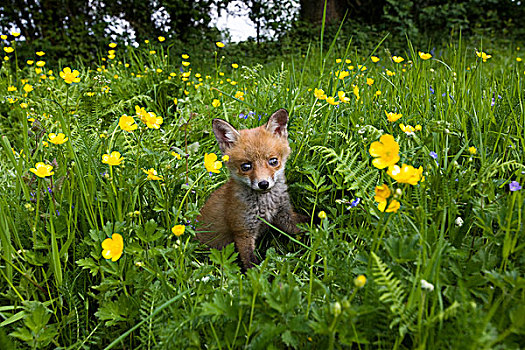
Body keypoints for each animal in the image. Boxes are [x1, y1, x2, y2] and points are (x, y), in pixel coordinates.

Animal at [196, 108, 304, 270]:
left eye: (273, 161)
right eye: (246, 166)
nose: (263, 184)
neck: (266, 205)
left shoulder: (285, 216)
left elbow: (309, 223)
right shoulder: (243, 232)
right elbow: (251, 264)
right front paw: (262, 276)